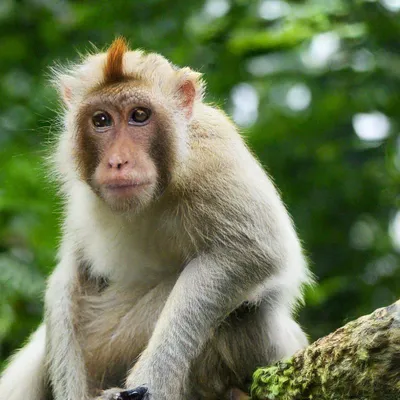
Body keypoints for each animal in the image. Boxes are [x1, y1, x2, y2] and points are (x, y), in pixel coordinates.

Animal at [0, 38, 310, 400]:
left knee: (250, 309)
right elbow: (71, 275)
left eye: (139, 115)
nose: (118, 162)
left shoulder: (216, 152)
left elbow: (252, 252)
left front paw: (155, 380)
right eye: (101, 120)